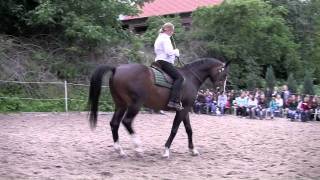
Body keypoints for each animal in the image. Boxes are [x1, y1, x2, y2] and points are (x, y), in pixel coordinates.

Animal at [87, 58, 230, 158]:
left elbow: (189, 129)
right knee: (126, 122)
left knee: (114, 123)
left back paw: (120, 150)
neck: (190, 77)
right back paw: (138, 148)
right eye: (224, 75)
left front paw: (193, 150)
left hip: (121, 105)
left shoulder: (184, 110)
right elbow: (174, 129)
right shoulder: (183, 109)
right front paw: (166, 150)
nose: (221, 91)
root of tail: (116, 68)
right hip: (135, 105)